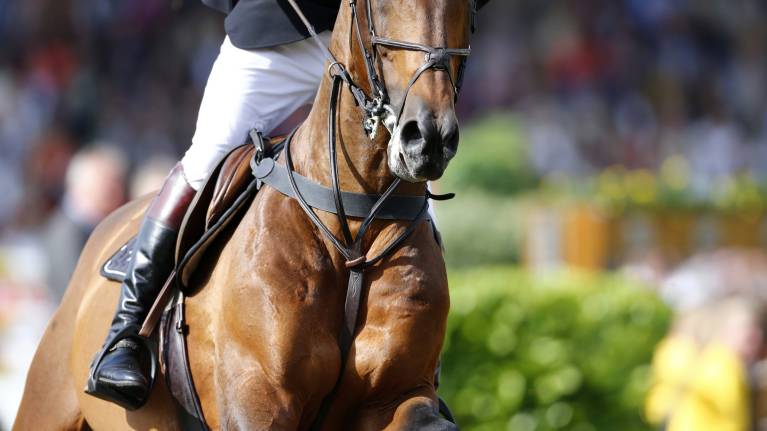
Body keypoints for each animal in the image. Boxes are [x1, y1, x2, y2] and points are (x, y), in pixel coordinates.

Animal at [14, 0, 475, 429]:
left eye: (466, 8)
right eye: (377, 6)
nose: (428, 137)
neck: (353, 227)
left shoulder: (398, 394)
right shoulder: (256, 398)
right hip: (45, 406)